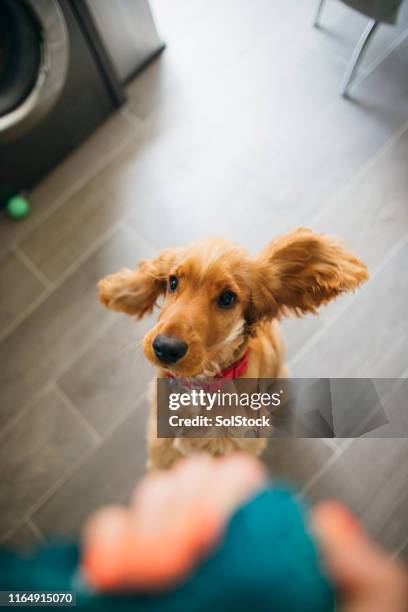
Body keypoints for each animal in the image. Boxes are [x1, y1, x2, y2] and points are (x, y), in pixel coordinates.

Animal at [99, 227, 370, 470]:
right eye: (172, 282)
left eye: (227, 298)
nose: (165, 348)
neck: (199, 387)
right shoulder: (161, 444)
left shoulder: (239, 446)